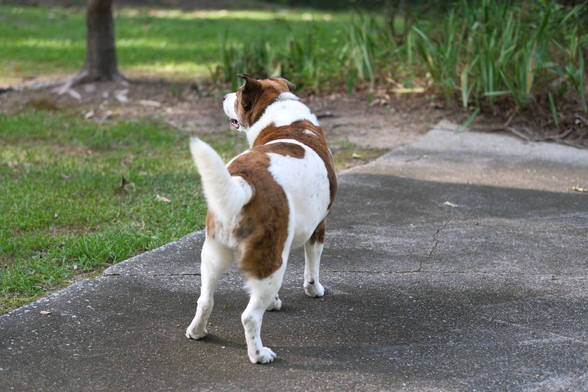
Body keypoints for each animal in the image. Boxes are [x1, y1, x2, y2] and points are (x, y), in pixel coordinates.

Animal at [186, 74, 338, 364]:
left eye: (237, 95)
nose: (223, 96)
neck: (281, 116)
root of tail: (246, 184)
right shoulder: (318, 226)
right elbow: (312, 267)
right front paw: (314, 290)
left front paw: (275, 302)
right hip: (273, 259)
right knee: (249, 317)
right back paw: (259, 354)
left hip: (214, 252)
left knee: (205, 299)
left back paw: (197, 331)